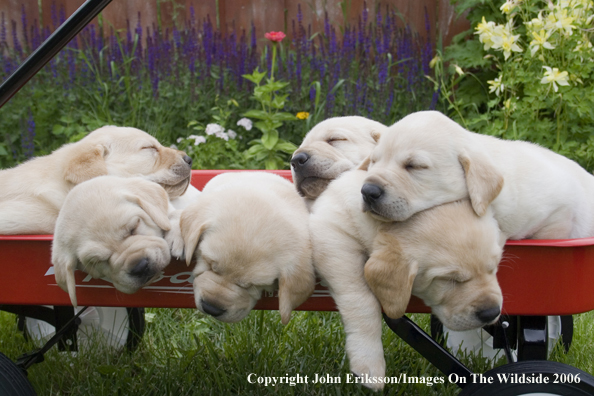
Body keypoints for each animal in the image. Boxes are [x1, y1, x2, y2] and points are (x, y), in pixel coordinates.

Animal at [308, 170, 502, 390]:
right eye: (449, 280)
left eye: (494, 267)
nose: (492, 313)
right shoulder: (331, 234)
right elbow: (361, 300)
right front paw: (369, 361)